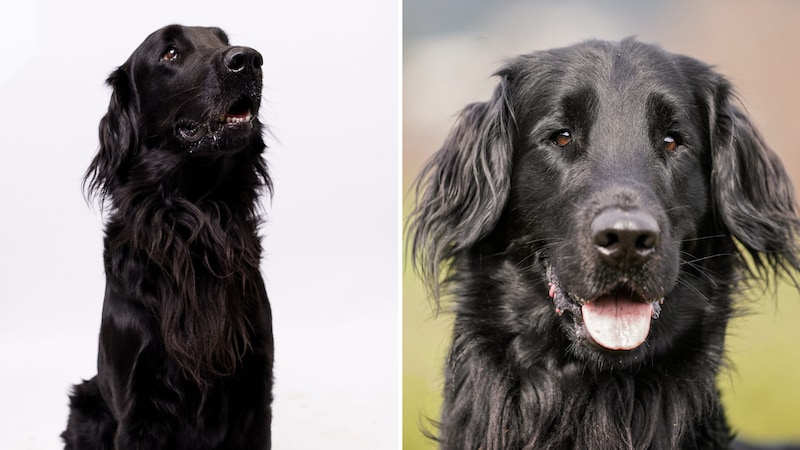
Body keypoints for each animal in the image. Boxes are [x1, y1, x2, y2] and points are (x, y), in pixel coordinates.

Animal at [63, 25, 276, 450]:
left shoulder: (256, 392)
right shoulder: (138, 406)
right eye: (170, 53)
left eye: (223, 40)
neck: (195, 220)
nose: (249, 59)